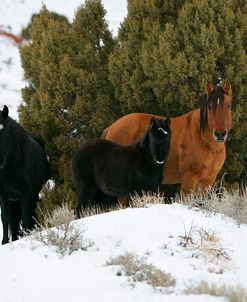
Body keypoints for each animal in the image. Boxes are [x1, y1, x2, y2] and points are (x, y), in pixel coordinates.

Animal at [0, 105, 49, 244]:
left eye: (5, 130)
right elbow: (5, 217)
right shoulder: (3, 193)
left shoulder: (26, 192)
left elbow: (27, 217)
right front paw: (4, 242)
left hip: (32, 195)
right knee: (14, 220)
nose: (0, 160)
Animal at [102, 81, 232, 197]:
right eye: (209, 106)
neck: (204, 142)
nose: (220, 134)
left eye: (229, 106)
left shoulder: (207, 181)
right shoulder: (189, 179)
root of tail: (112, 127)